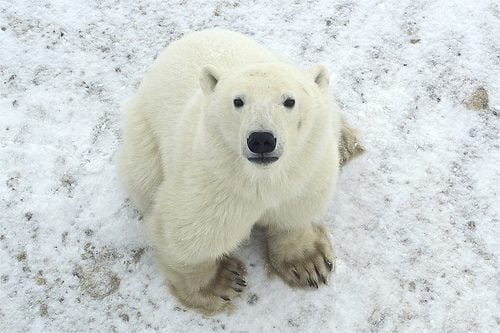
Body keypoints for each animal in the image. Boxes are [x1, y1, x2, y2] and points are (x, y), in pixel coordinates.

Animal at [117, 28, 364, 314]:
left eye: (289, 100)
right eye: (238, 101)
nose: (262, 139)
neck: (260, 177)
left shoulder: (306, 170)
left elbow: (295, 211)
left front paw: (308, 263)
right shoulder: (212, 181)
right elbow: (185, 235)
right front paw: (221, 282)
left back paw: (345, 143)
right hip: (142, 143)